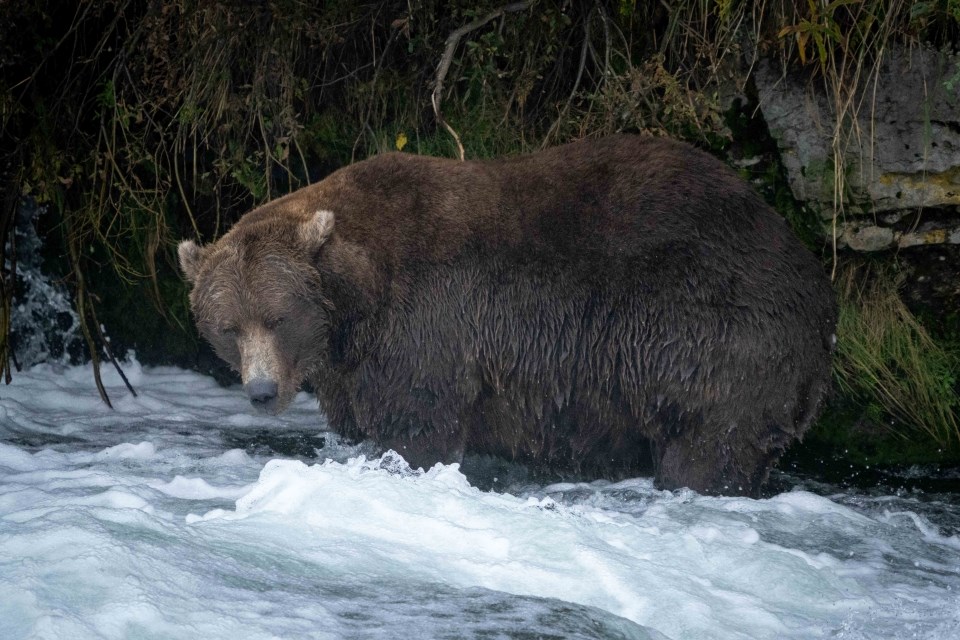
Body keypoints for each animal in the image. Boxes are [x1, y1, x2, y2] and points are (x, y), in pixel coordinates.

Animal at [180, 135, 840, 496]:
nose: (262, 391)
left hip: (716, 336)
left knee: (710, 444)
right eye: (229, 327)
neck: (356, 301)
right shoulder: (354, 362)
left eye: (278, 317)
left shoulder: (428, 326)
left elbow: (418, 425)